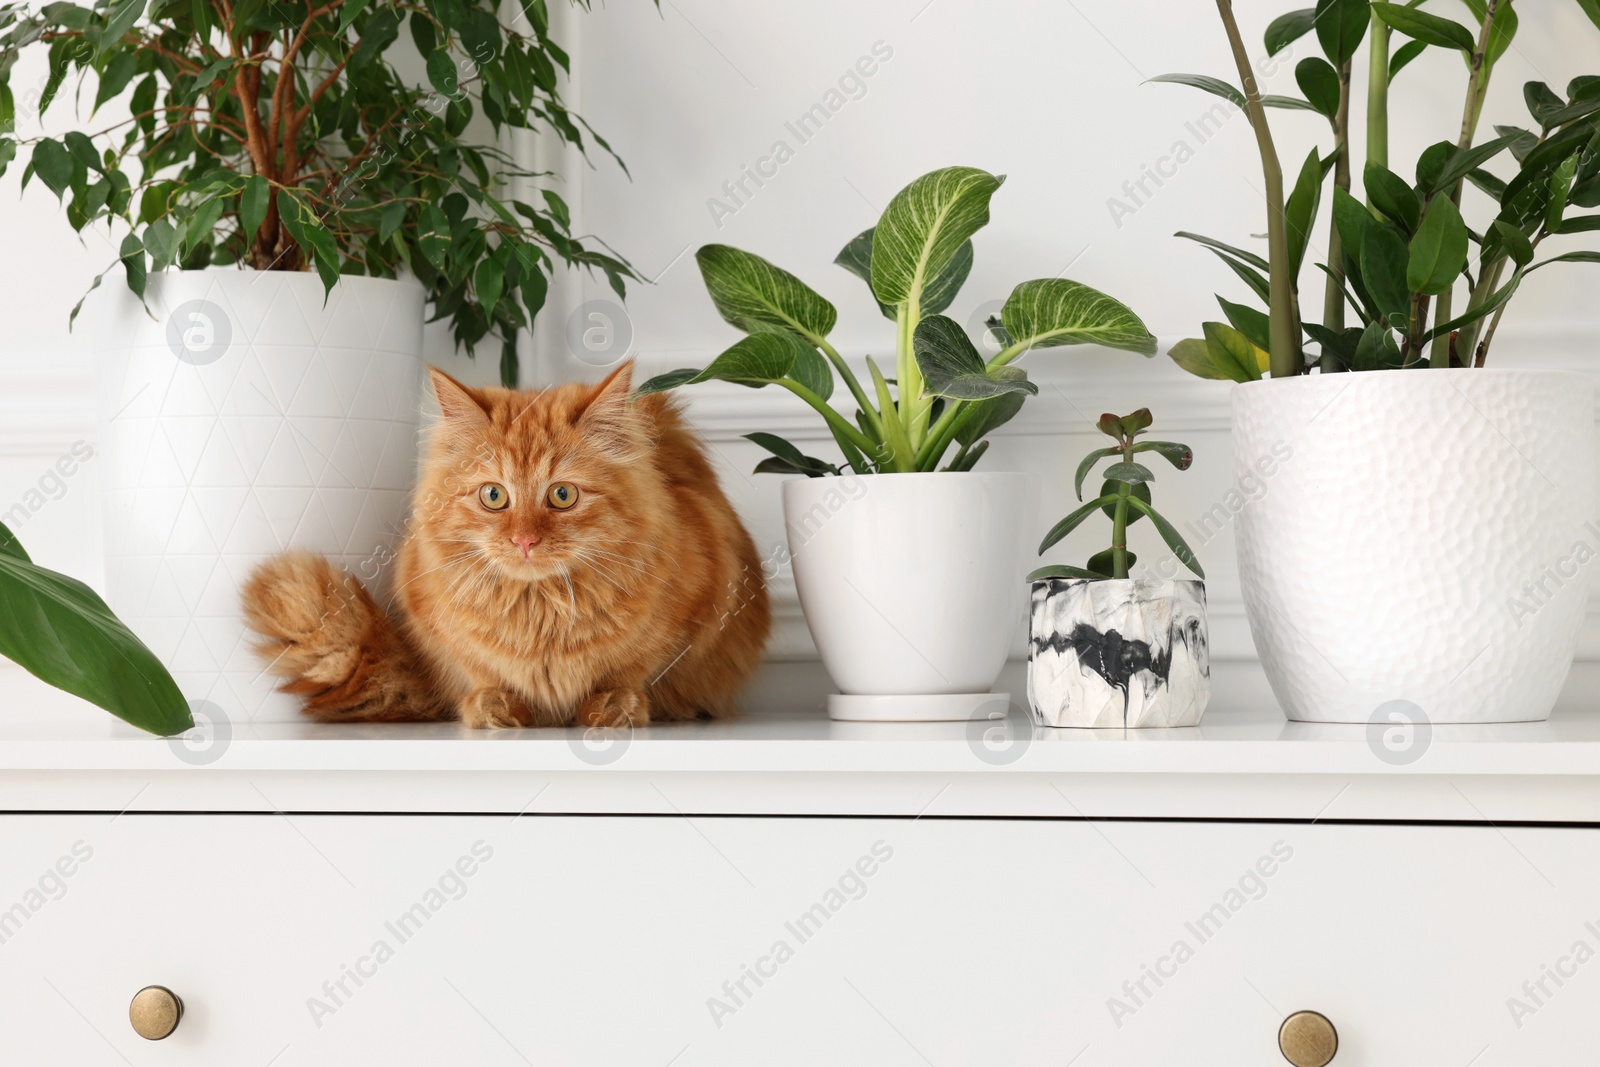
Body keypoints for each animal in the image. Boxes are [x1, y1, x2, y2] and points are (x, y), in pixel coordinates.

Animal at [240, 363, 771, 729]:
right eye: (494, 496)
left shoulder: (698, 609)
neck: (540, 612)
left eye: (562, 495)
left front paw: (612, 706)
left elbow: (631, 670)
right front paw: (495, 707)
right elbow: (482, 673)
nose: (524, 540)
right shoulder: (433, 621)